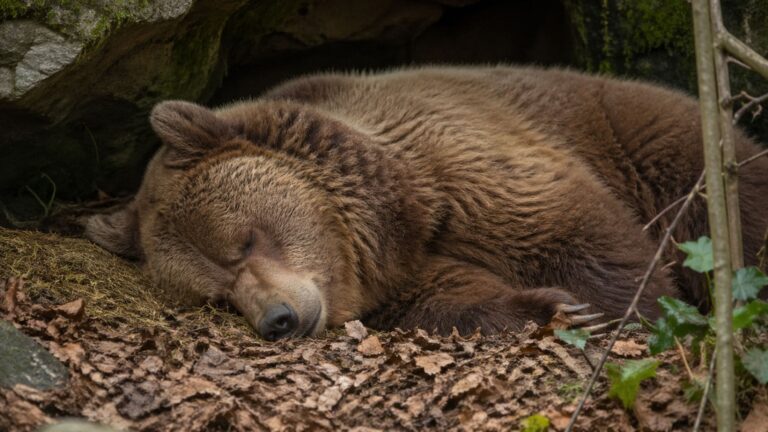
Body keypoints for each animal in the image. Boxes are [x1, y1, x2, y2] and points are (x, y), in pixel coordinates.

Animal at [85, 66, 768, 341]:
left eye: (245, 240)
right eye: (218, 296)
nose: (278, 318)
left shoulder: (463, 164)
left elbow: (577, 234)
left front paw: (624, 314)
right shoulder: (400, 276)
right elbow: (457, 300)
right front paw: (555, 309)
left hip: (654, 138)